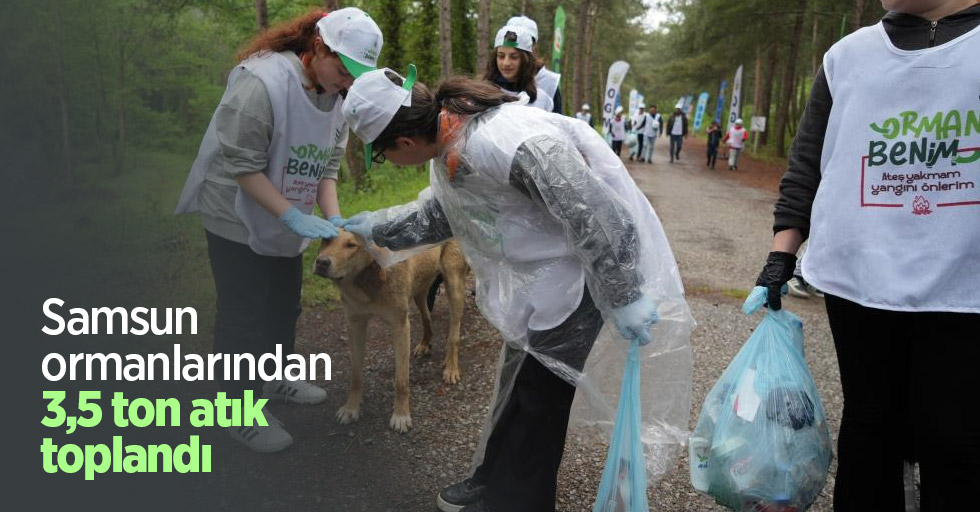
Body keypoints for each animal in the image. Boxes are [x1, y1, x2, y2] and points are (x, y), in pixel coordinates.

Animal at [312, 231, 468, 432]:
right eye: (326, 239)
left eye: (351, 245)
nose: (321, 262)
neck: (367, 280)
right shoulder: (355, 325)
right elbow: (355, 376)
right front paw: (351, 408)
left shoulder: (400, 327)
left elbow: (401, 381)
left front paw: (401, 415)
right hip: (420, 288)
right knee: (427, 318)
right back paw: (425, 343)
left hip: (454, 285)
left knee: (454, 334)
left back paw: (451, 366)